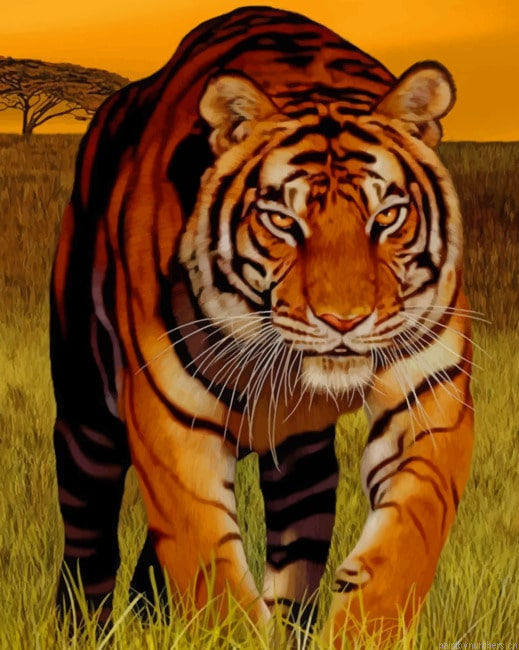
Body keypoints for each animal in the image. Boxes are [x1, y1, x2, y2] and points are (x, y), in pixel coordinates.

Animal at [50, 5, 474, 646]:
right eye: (282, 221)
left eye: (387, 216)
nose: (344, 321)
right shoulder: (169, 418)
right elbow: (208, 563)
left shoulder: (432, 388)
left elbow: (408, 536)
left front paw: (360, 629)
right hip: (85, 414)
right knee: (87, 533)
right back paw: (82, 627)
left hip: (299, 463)